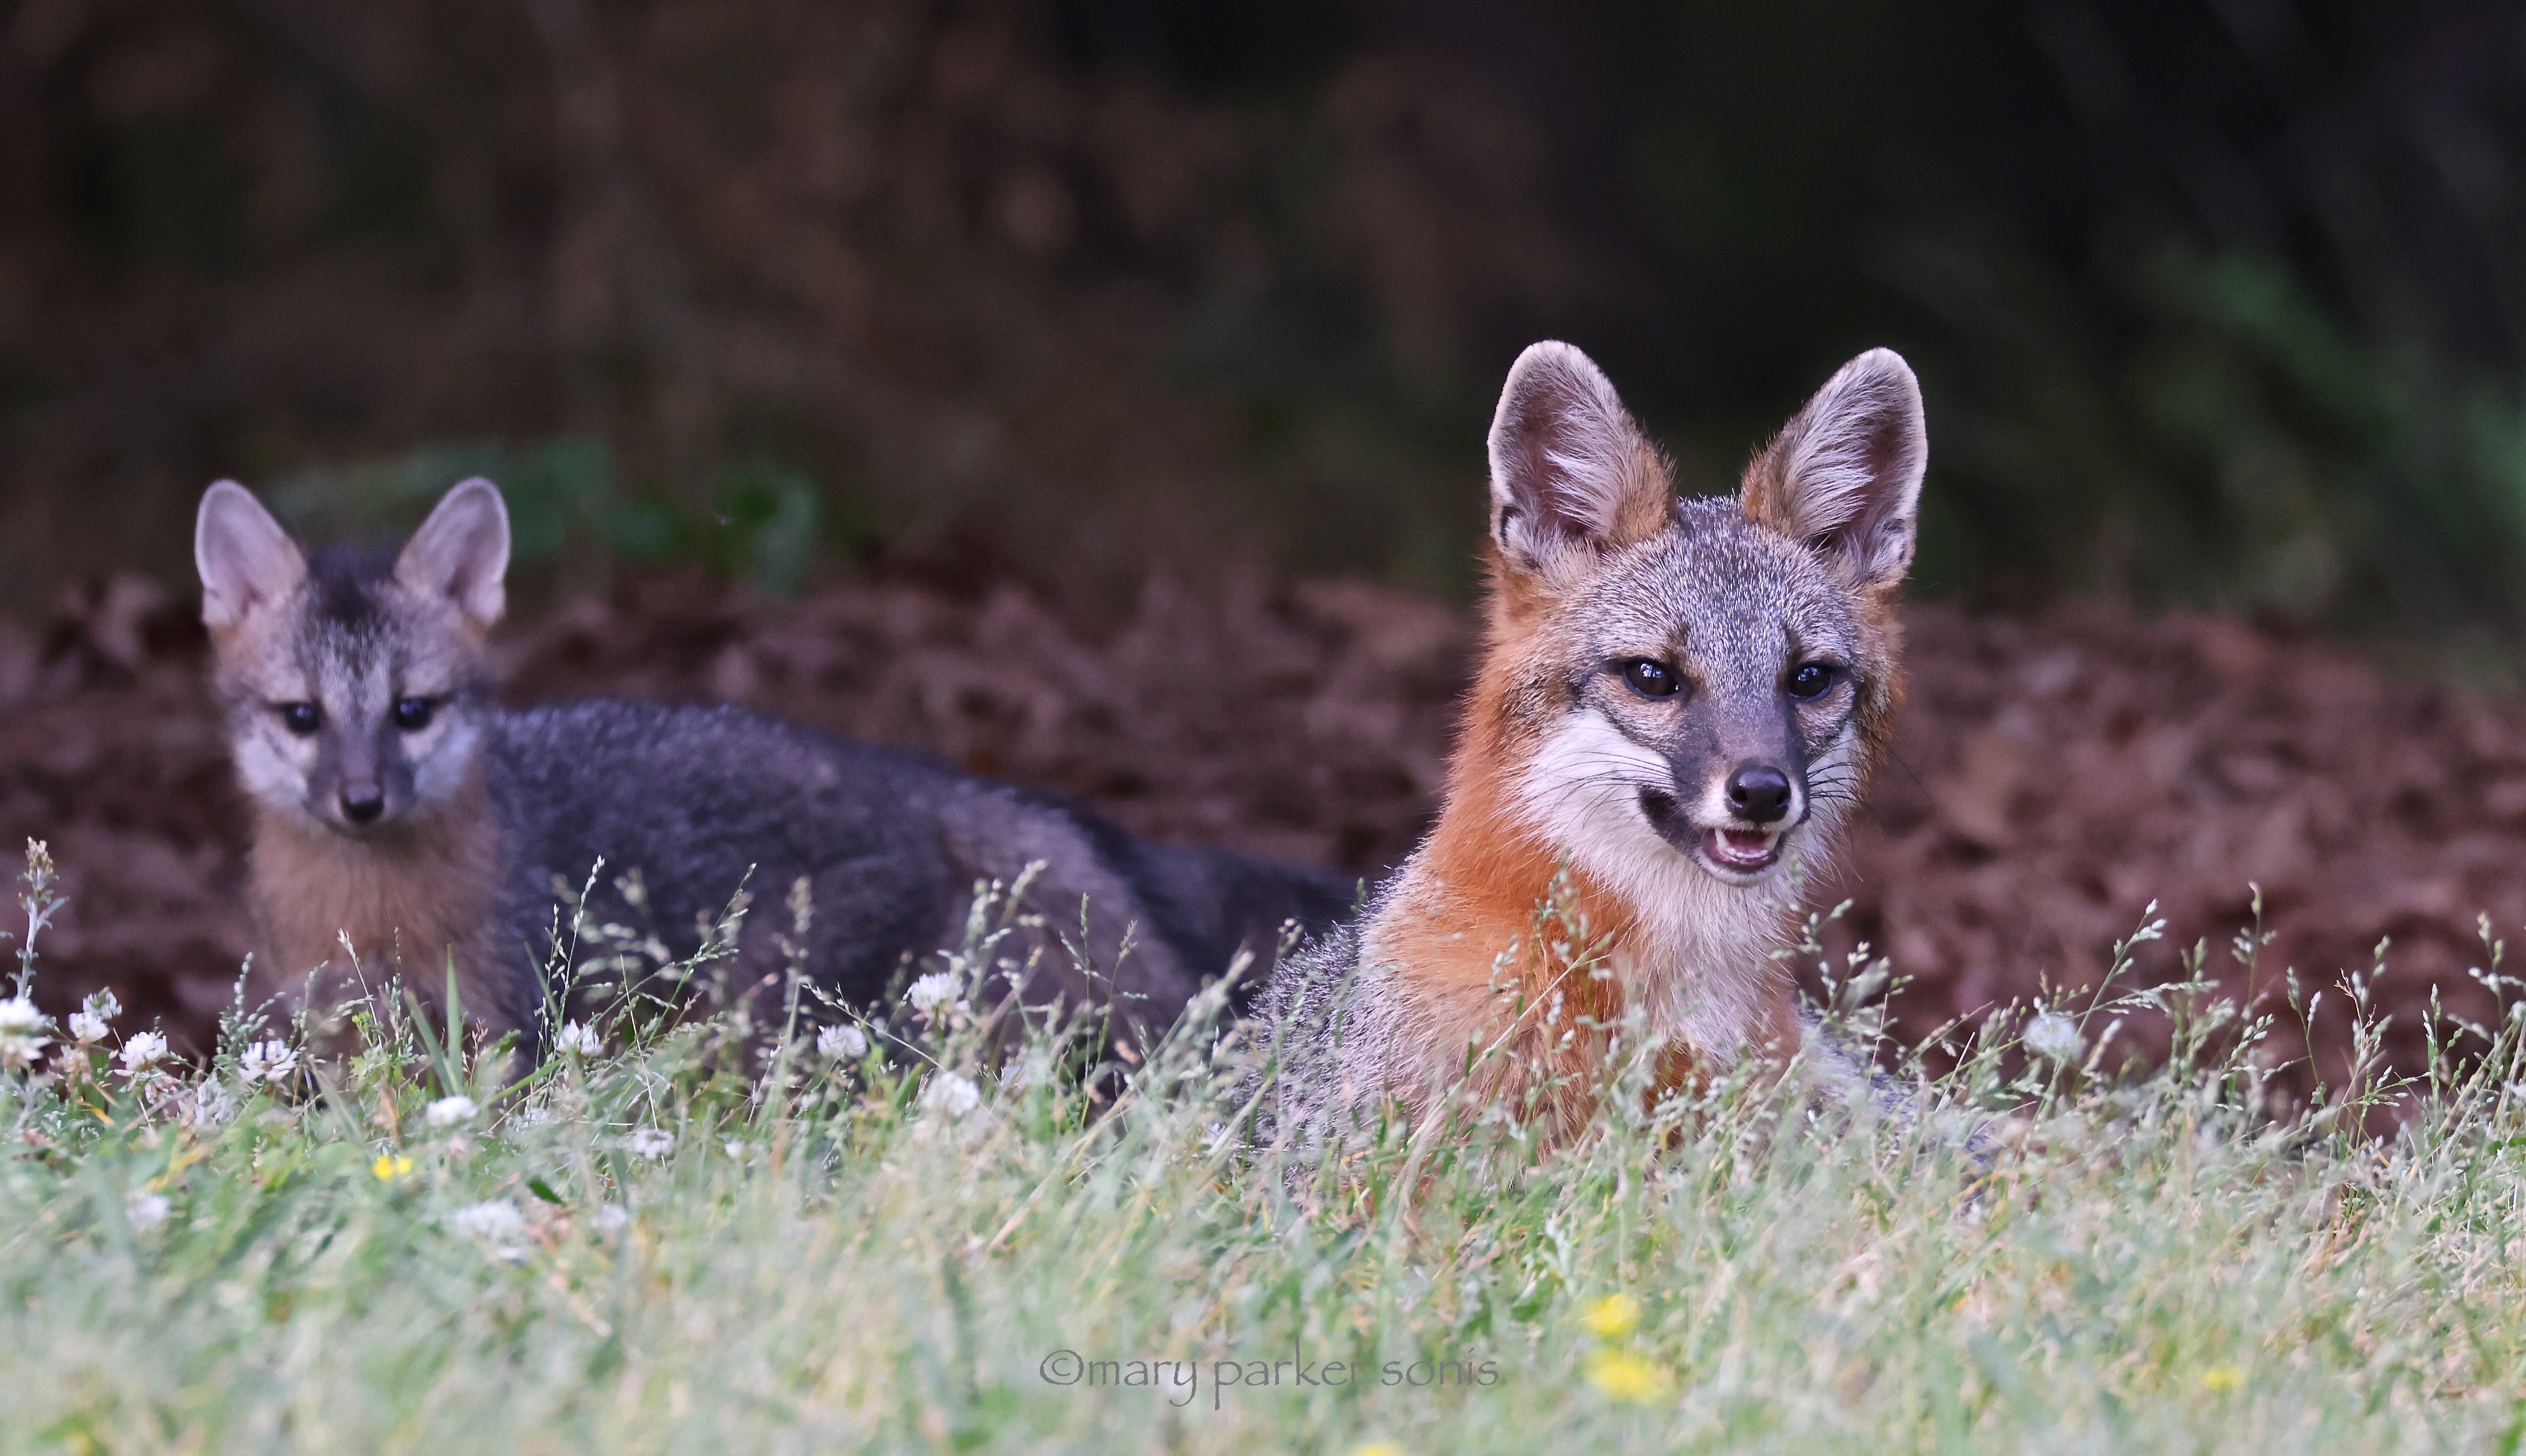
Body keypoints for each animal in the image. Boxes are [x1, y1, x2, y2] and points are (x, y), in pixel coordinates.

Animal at [193, 477, 1356, 1062]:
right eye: (303, 718)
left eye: (412, 713)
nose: (362, 800)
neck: (369, 908)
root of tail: (913, 777)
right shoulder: (342, 1042)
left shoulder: (506, 1026)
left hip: (767, 1013)